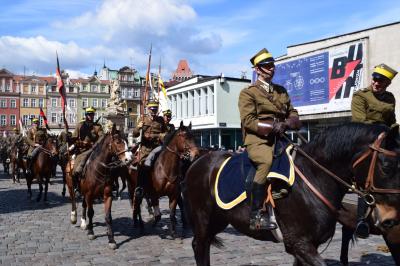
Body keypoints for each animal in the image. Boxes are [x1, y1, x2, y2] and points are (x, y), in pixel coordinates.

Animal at [183, 123, 400, 266]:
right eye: (386, 166)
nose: (391, 219)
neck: (315, 177)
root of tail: (199, 160)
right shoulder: (299, 244)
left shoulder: (306, 246)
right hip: (203, 218)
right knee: (199, 246)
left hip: (219, 219)